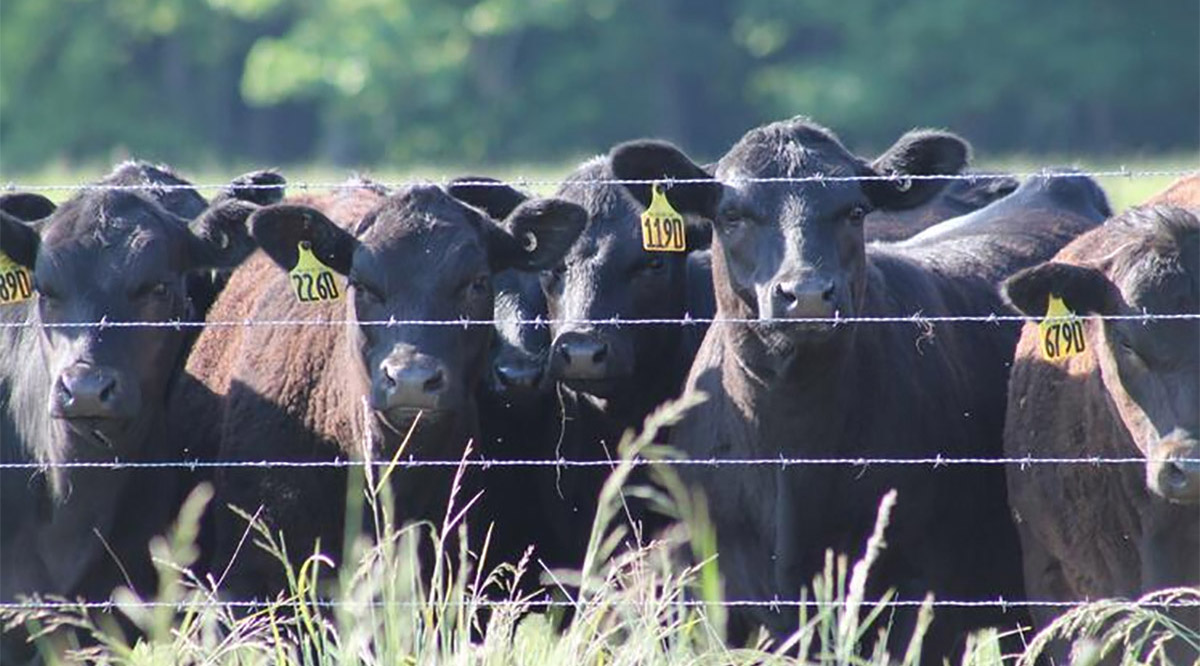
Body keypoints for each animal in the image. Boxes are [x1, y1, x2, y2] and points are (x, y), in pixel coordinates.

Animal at [608, 116, 1108, 661]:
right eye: (733, 214)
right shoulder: (705, 594)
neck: (793, 455)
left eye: (855, 210)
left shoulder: (923, 599)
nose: (806, 295)